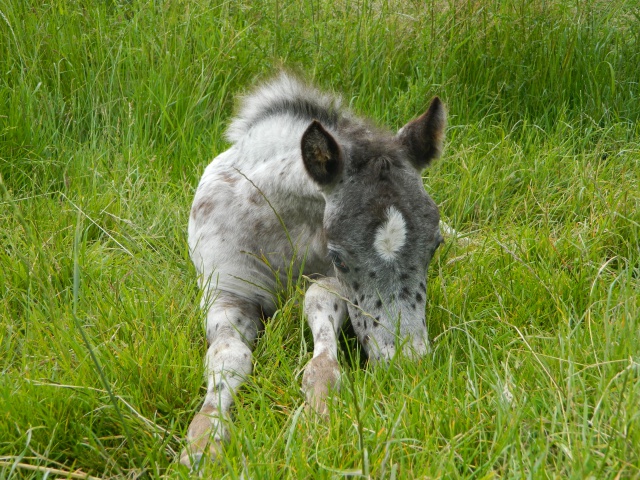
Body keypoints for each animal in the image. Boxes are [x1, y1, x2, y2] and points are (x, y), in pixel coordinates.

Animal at [181, 75, 444, 468]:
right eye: (341, 257)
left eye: (434, 246)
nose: (405, 364)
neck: (280, 225)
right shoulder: (225, 293)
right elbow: (228, 354)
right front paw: (204, 438)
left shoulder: (332, 285)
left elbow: (317, 304)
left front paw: (317, 411)